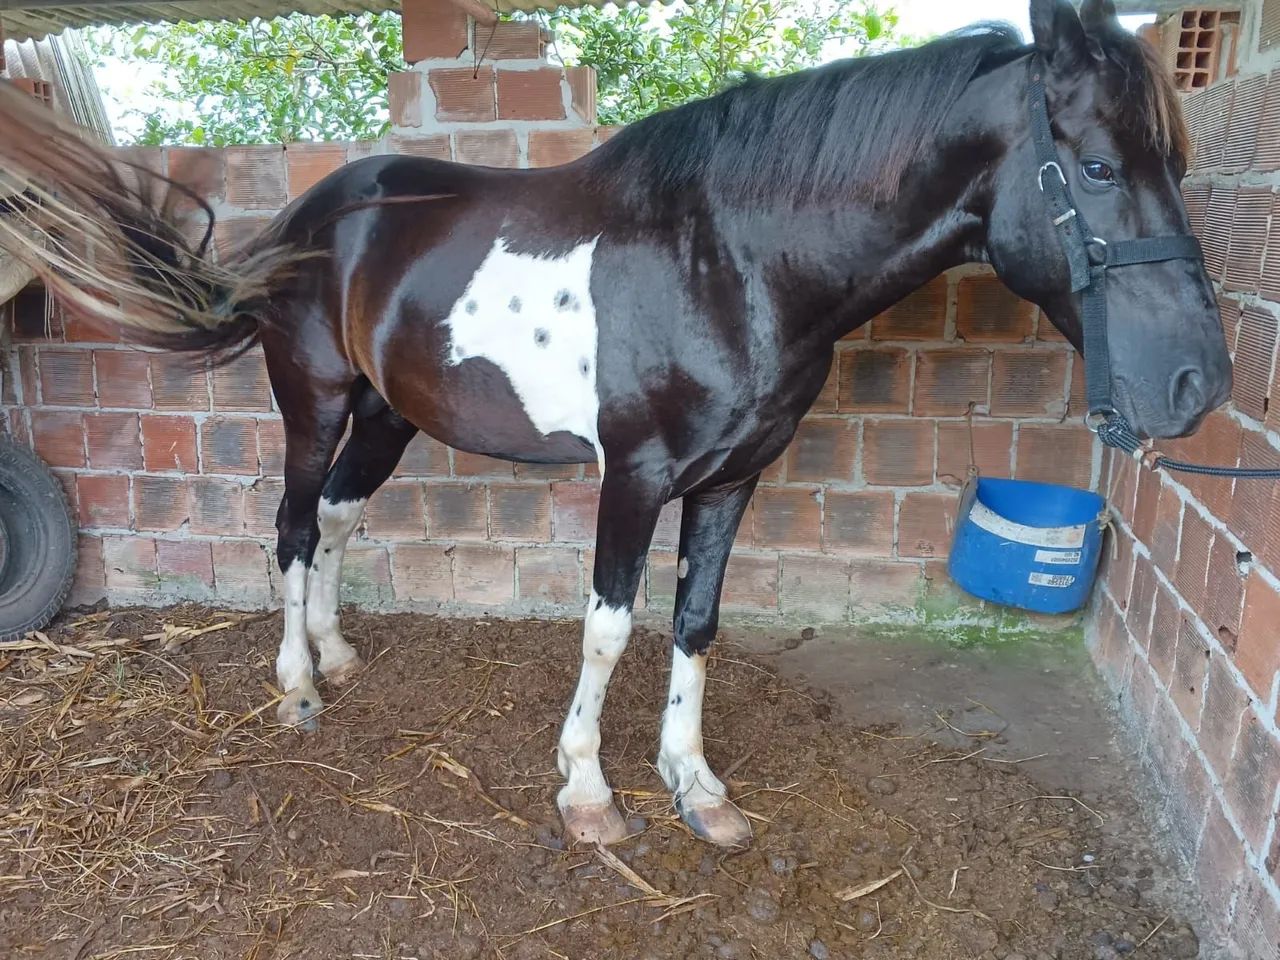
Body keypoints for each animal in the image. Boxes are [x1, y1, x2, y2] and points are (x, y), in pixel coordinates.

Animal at [0, 0, 1232, 850]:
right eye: (1095, 166)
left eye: (1175, 161)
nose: (1197, 384)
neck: (732, 256)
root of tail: (307, 217)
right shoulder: (633, 478)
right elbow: (607, 628)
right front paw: (589, 795)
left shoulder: (732, 481)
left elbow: (694, 624)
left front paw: (697, 788)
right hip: (315, 404)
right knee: (295, 527)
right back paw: (297, 685)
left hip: (391, 417)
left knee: (340, 521)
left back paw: (339, 657)